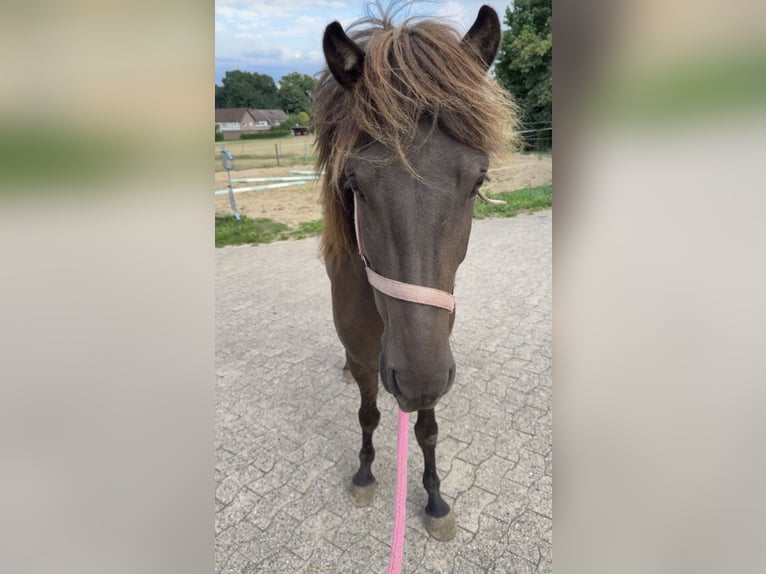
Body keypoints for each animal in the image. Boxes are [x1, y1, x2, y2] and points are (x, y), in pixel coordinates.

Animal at [313, 3, 516, 541]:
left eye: (478, 181)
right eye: (355, 184)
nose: (417, 380)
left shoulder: (431, 356)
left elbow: (426, 429)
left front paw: (435, 499)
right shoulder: (374, 359)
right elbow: (367, 414)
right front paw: (364, 473)